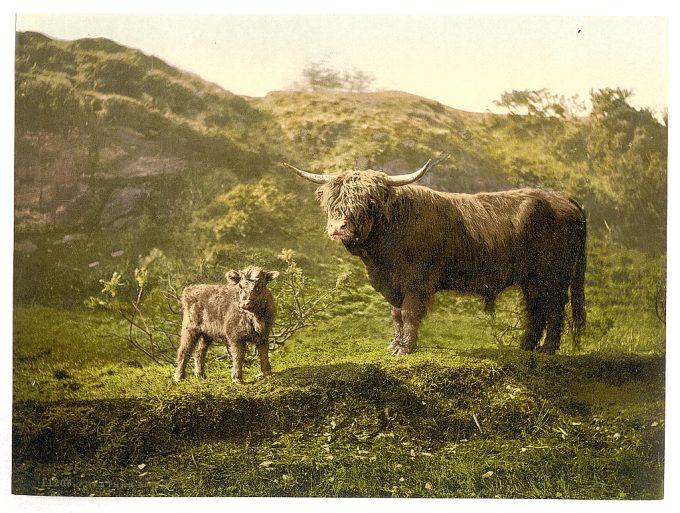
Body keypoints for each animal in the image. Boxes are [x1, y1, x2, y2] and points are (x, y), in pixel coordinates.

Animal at [284, 158, 588, 354]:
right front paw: (395, 344)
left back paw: (547, 349)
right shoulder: (391, 283)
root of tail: (564, 199)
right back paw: (525, 347)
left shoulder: (415, 281)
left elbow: (409, 312)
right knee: (536, 307)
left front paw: (406, 348)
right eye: (332, 201)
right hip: (531, 279)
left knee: (554, 307)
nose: (338, 228)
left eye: (368, 202)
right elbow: (396, 314)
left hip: (554, 275)